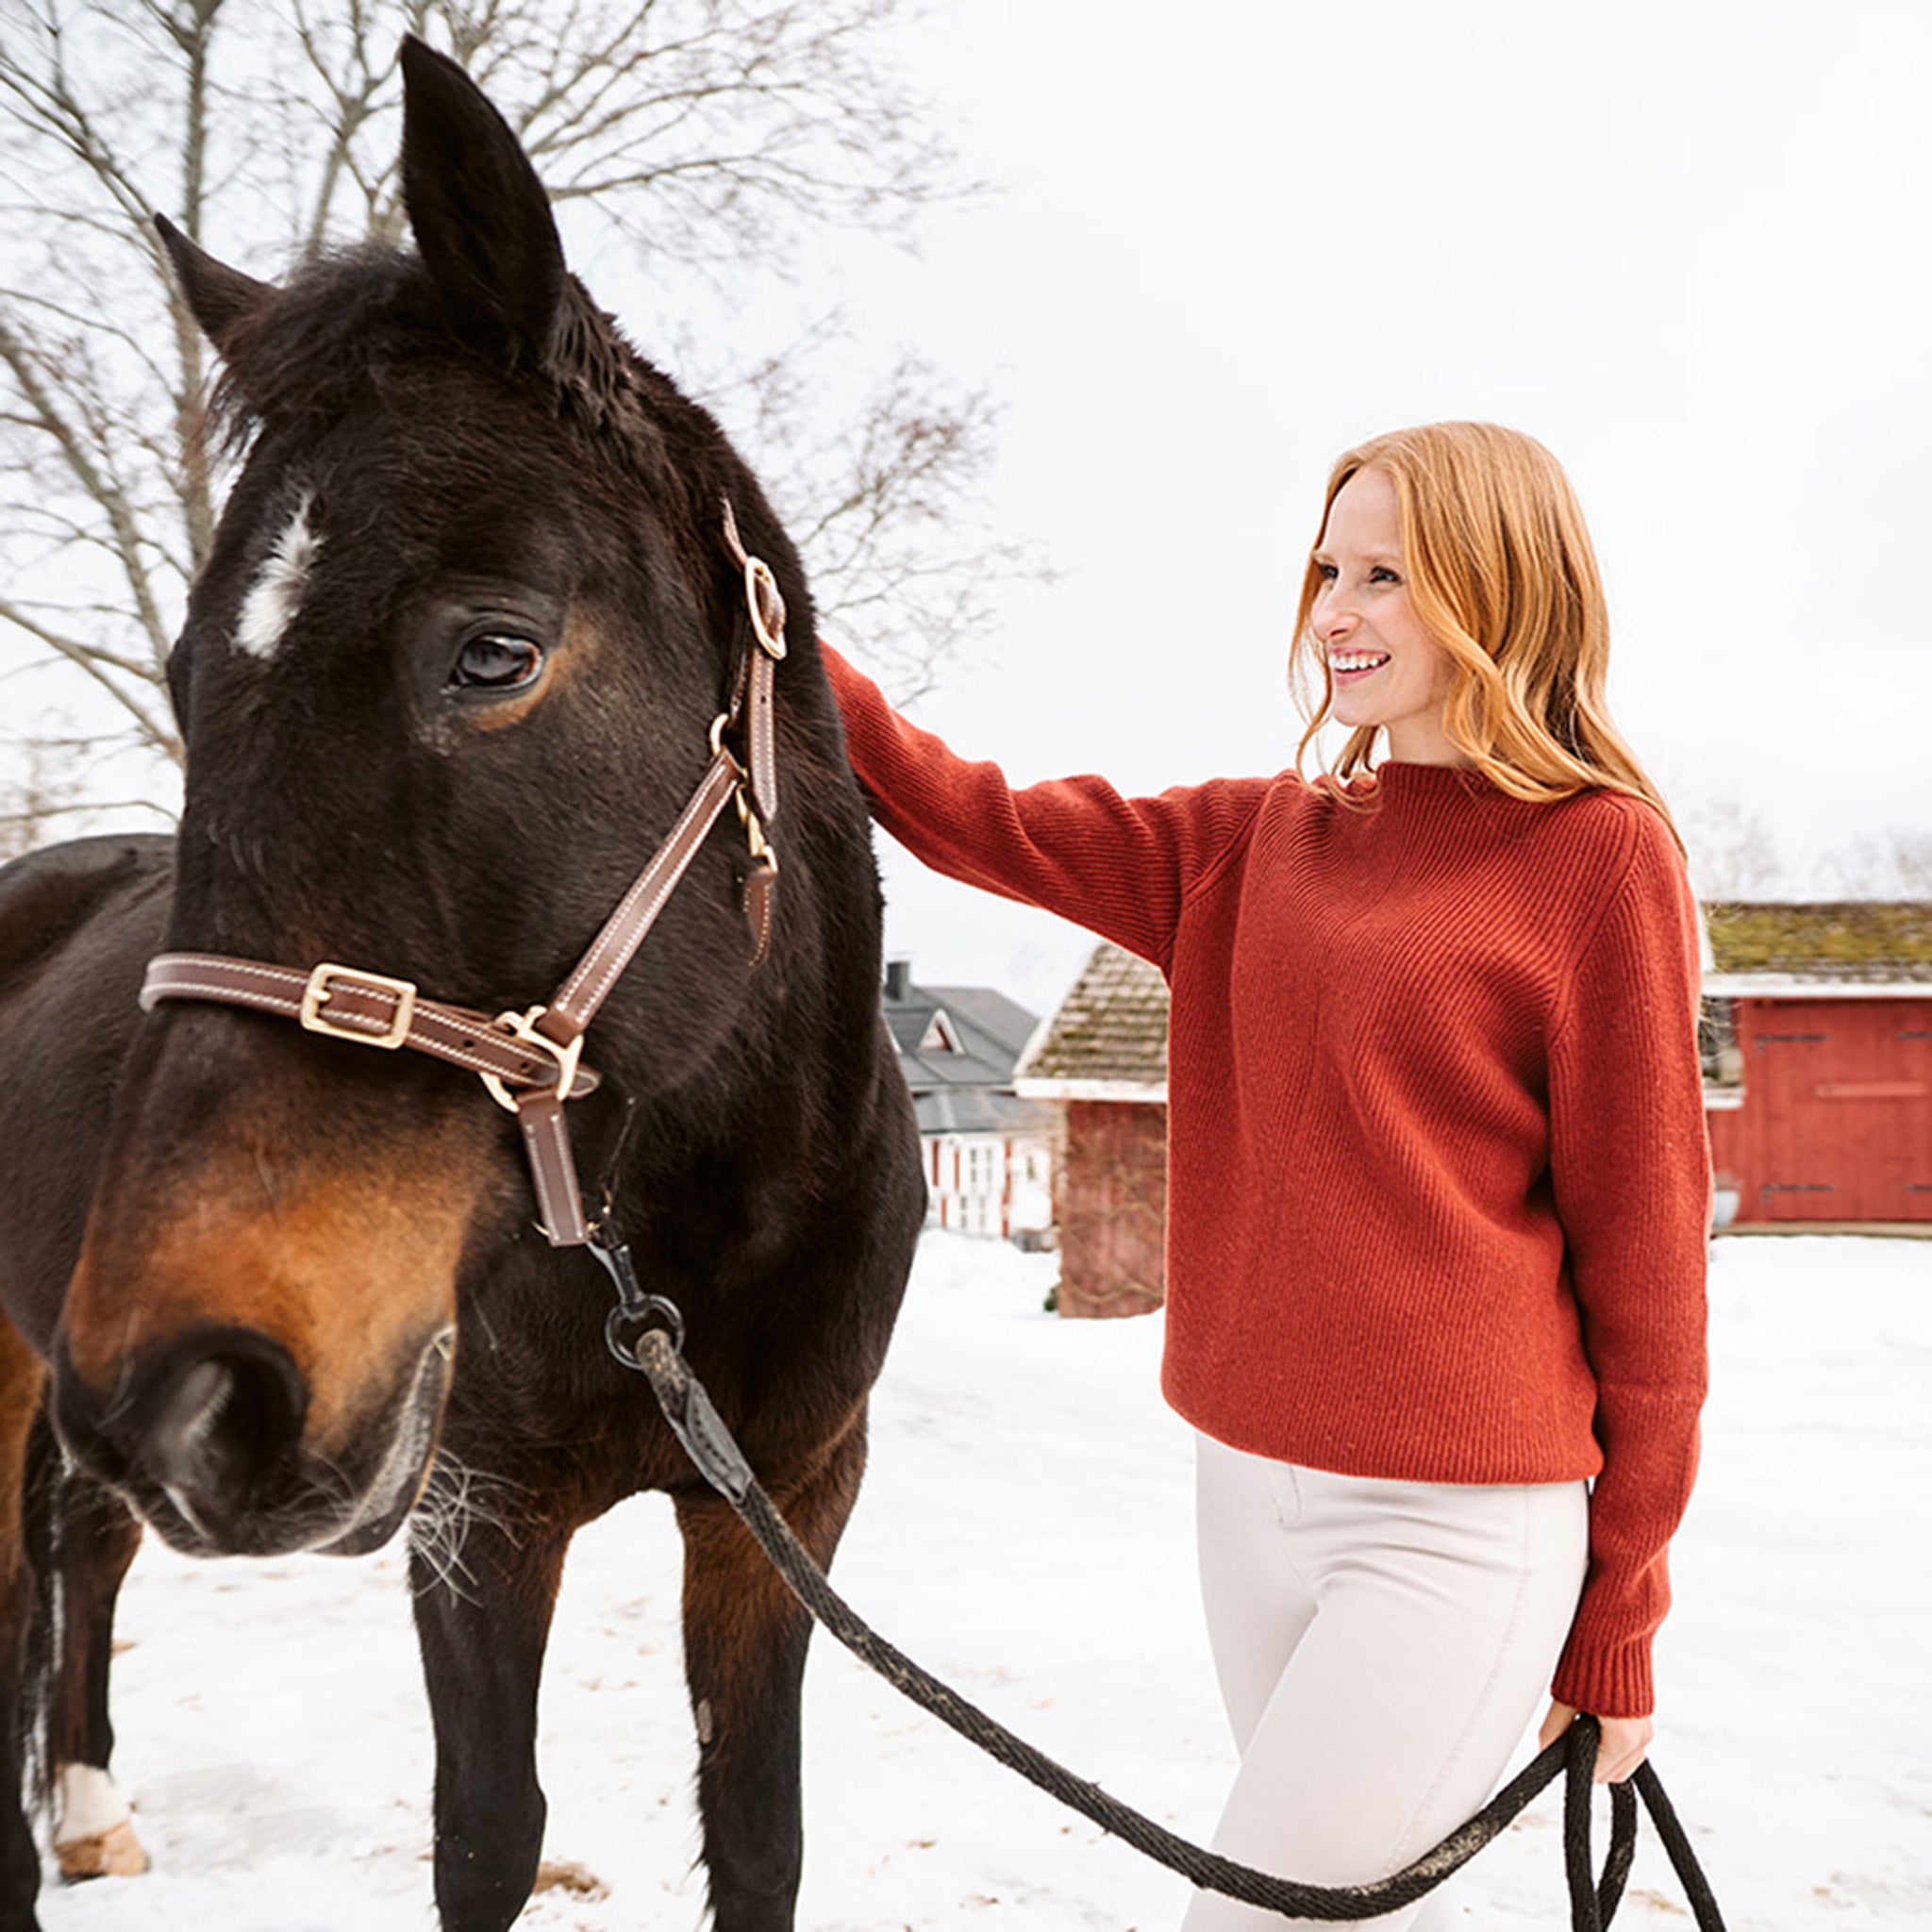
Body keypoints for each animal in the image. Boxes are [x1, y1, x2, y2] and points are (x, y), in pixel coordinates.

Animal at [0, 42, 927, 1932]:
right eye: (184, 680)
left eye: (494, 652)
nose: (194, 1386)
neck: (682, 1233)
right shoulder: (480, 1511)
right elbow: (487, 1831)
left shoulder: (786, 1503)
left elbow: (760, 1834)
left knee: (85, 1541)